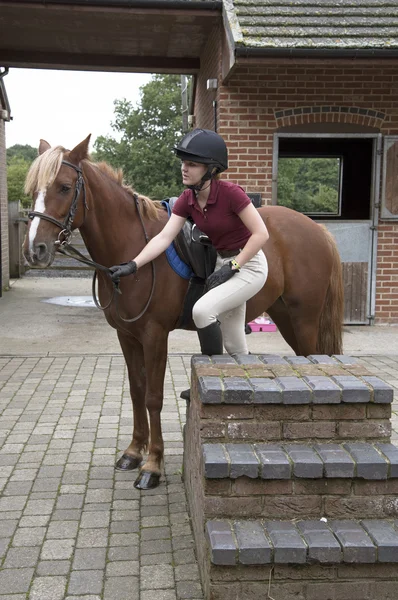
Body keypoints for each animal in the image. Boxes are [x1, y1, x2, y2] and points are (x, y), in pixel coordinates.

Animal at [23, 138, 344, 490]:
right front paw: (133, 452)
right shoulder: (127, 335)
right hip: (284, 316)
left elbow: (153, 397)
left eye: (65, 187)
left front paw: (152, 466)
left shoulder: (154, 335)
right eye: (33, 190)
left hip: (304, 320)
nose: (35, 250)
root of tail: (317, 229)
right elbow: (136, 392)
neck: (135, 251)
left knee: (311, 357)